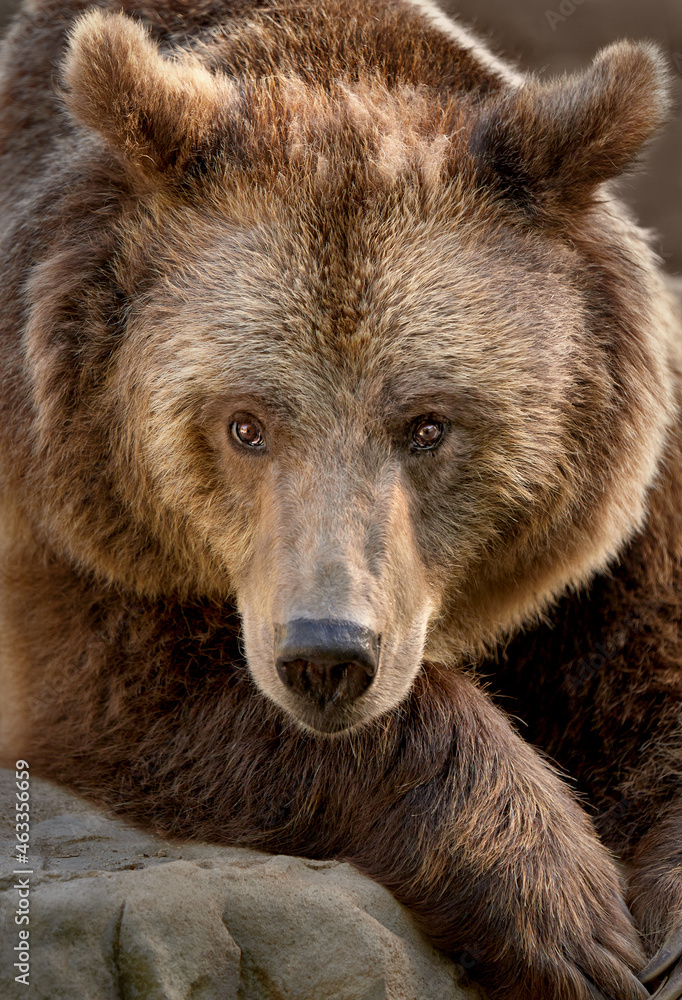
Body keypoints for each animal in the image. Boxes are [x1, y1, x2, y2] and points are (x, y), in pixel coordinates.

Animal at [1, 0, 680, 996]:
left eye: (428, 424)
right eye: (244, 423)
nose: (328, 655)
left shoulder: (611, 527)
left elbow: (650, 664)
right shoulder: (60, 505)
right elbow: (134, 680)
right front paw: (565, 916)